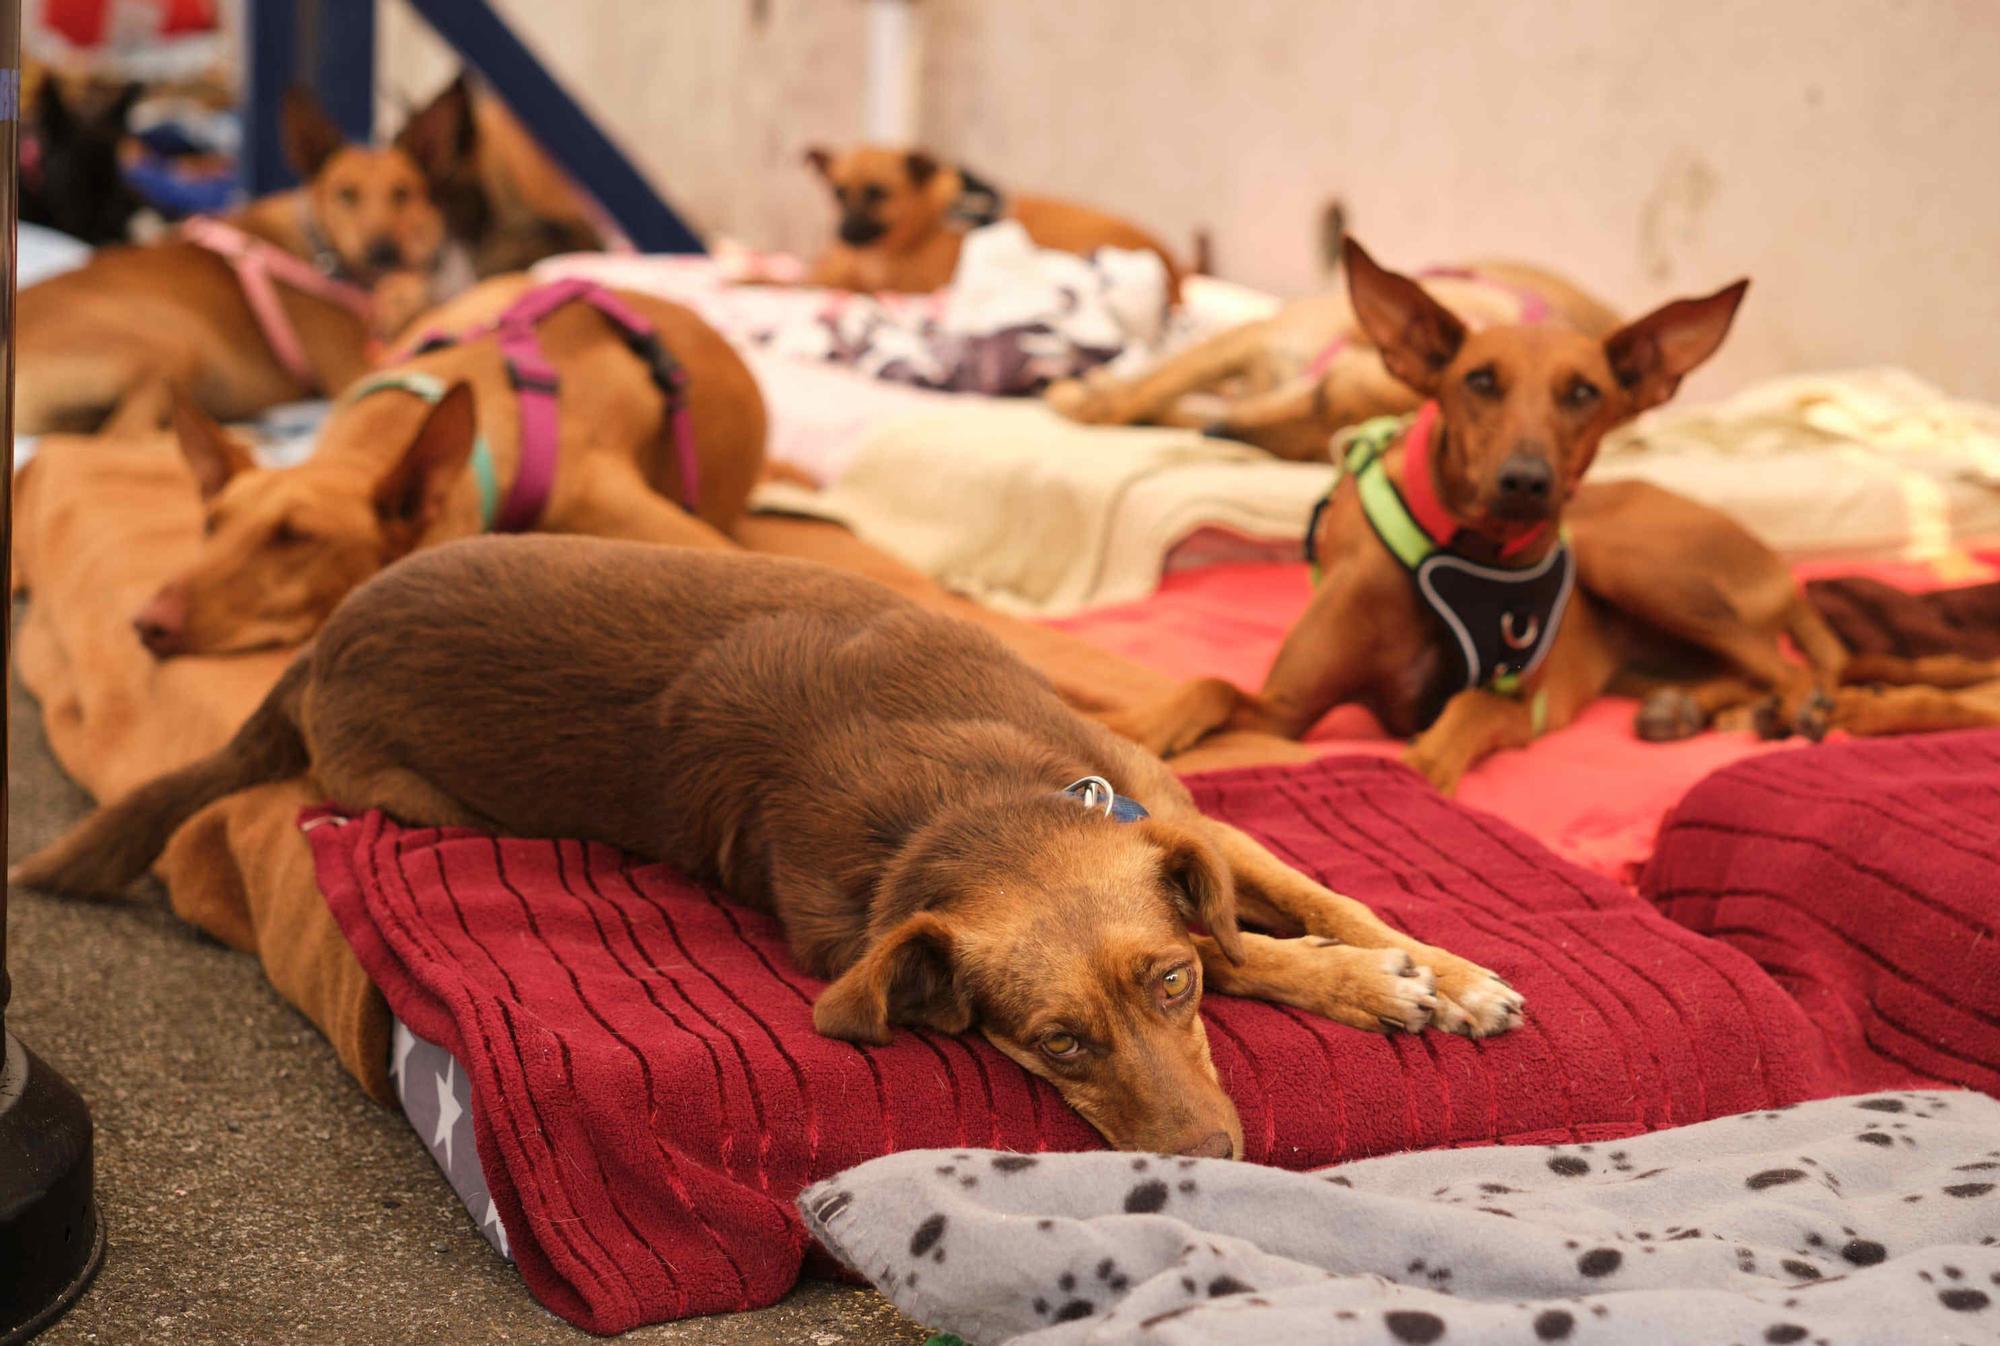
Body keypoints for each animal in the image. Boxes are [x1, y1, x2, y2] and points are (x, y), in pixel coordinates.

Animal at [15, 81, 474, 436]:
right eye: (346, 194)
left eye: (403, 194)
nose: (383, 250)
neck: (320, 249)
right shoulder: (353, 369)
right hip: (177, 346)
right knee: (121, 437)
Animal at [19, 536, 1528, 1152]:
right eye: (1052, 1044)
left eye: (1169, 990)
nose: (1211, 1152)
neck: (970, 802)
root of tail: (322, 637)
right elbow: (1270, 947)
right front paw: (1377, 989)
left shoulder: (1177, 815)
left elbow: (1309, 901)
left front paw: (1437, 973)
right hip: (412, 794)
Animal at [1048, 258, 1624, 462]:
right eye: (1322, 394)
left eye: (1324, 452)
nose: (1219, 434)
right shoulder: (1252, 341)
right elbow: (1150, 388)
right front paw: (1083, 399)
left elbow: (1167, 403)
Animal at [1112, 242, 1872, 792]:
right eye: (1479, 380)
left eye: (1584, 393)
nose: (1526, 482)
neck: (1463, 554)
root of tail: (1781, 571)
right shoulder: (1283, 706)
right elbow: (1207, 685)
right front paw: (1139, 729)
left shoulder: (1511, 704)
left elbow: (1458, 720)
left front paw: (1416, 765)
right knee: (1752, 668)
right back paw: (1691, 709)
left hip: (1632, 563)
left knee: (1791, 669)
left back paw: (1783, 709)